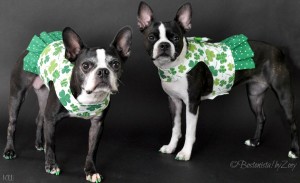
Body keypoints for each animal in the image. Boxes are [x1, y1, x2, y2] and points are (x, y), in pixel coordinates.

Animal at [3, 26, 132, 182]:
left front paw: (91, 171)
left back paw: (39, 143)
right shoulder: (51, 119)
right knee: (12, 123)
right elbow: (52, 144)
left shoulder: (97, 124)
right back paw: (10, 150)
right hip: (17, 95)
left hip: (44, 95)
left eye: (115, 64)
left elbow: (92, 150)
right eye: (86, 65)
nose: (103, 71)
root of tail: (28, 48)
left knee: (39, 119)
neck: (88, 96)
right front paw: (51, 165)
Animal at [137, 1, 298, 162]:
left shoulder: (192, 103)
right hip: (255, 95)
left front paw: (185, 153)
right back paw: (255, 141)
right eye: (151, 37)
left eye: (176, 38)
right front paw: (171, 147)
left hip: (283, 95)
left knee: (292, 123)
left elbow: (189, 131)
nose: (164, 45)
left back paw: (294, 151)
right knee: (261, 117)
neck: (175, 67)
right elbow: (175, 128)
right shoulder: (173, 101)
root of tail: (278, 50)